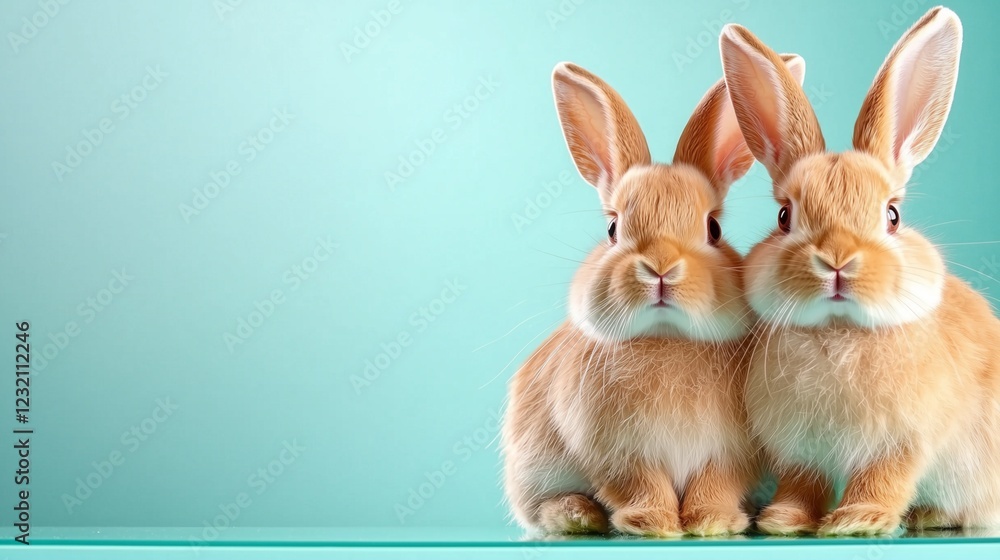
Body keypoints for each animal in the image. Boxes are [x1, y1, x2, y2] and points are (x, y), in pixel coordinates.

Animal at [501, 56, 805, 537]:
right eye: (613, 229)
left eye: (713, 229)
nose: (660, 267)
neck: (668, 338)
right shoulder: (617, 454)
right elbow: (640, 485)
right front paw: (654, 524)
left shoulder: (731, 453)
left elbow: (716, 482)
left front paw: (712, 522)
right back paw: (576, 514)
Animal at [719, 7, 1000, 536]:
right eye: (784, 216)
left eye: (892, 215)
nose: (837, 260)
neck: (839, 329)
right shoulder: (799, 450)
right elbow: (802, 483)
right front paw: (784, 520)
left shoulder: (903, 442)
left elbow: (884, 478)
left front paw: (857, 521)